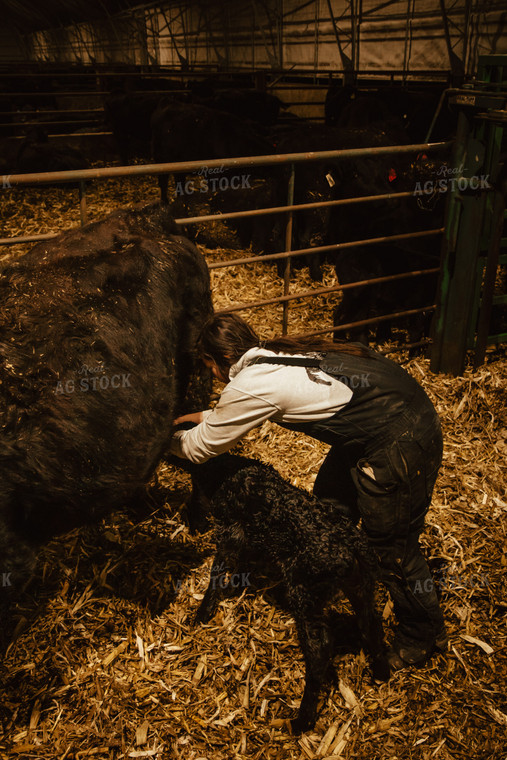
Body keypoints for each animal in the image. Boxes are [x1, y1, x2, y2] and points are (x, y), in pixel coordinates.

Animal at [185, 454, 390, 732]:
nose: (191, 524)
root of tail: (351, 549)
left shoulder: (231, 532)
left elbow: (217, 573)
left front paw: (201, 615)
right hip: (362, 584)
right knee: (370, 623)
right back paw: (381, 673)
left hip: (306, 592)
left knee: (319, 650)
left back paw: (301, 721)